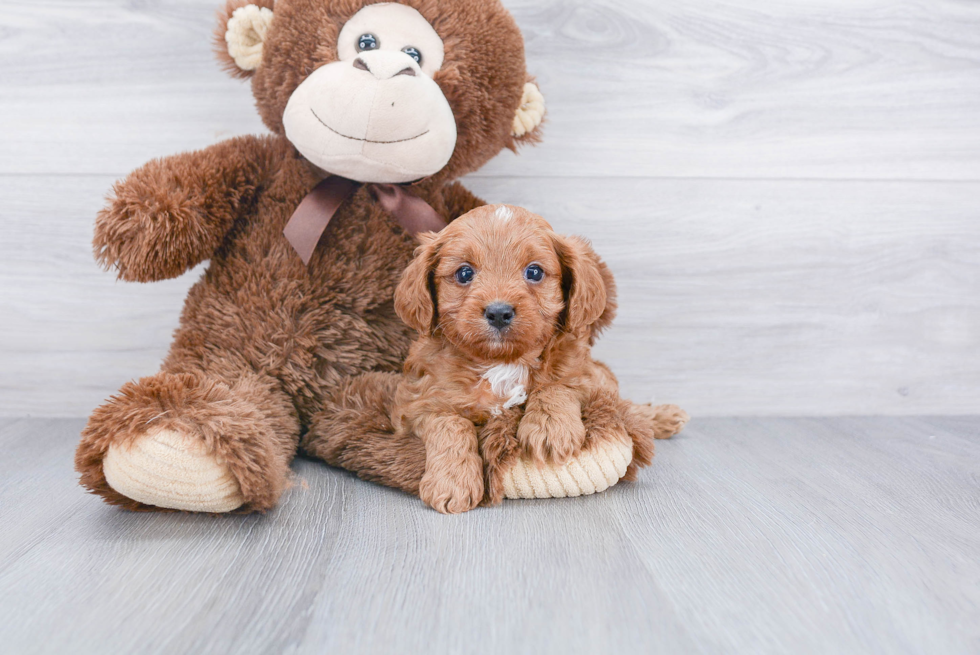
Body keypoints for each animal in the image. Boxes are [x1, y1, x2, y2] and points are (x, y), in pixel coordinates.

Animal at [392, 204, 616, 512]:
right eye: (464, 273)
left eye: (534, 271)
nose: (499, 312)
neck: (503, 362)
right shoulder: (416, 403)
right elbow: (450, 423)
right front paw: (451, 482)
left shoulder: (595, 378)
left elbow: (558, 385)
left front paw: (550, 428)